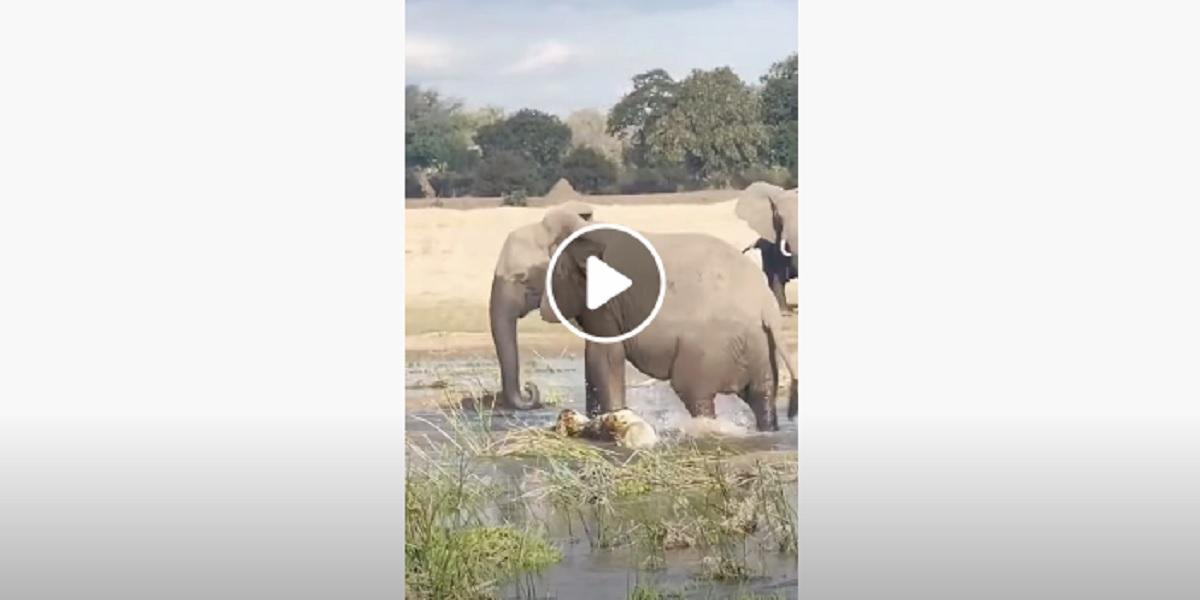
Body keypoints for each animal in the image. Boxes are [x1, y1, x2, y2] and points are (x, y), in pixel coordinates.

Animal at [538, 212, 798, 431]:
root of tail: (766, 305)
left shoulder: (604, 299)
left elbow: (604, 355)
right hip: (758, 343)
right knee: (762, 395)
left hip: (710, 347)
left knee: (695, 394)